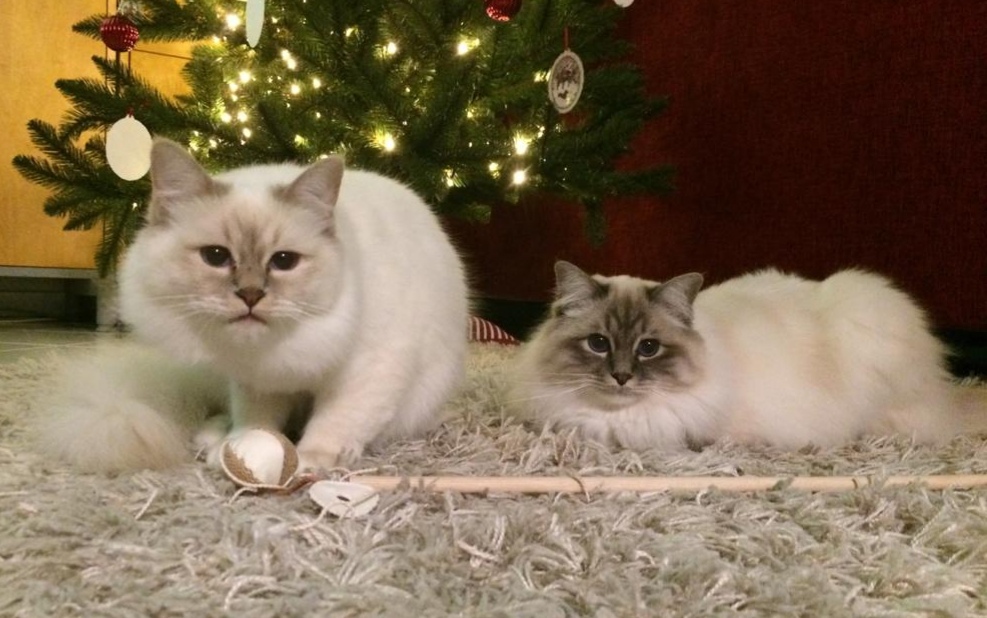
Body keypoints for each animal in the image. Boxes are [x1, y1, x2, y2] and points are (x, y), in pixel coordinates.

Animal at [39, 138, 469, 473]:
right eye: (215, 256)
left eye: (284, 261)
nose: (250, 295)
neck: (275, 352)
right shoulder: (256, 382)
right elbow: (257, 421)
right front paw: (247, 450)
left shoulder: (369, 368)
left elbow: (335, 421)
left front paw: (310, 461)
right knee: (220, 412)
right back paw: (213, 441)